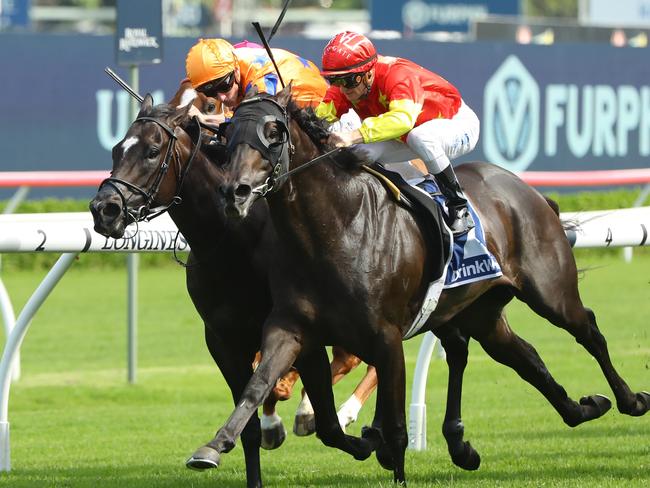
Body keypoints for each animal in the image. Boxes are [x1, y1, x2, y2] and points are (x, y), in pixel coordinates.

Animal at [88, 92, 378, 488]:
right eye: (117, 149)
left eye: (152, 151)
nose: (104, 209)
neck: (238, 241)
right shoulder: (222, 339)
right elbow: (251, 424)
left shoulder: (303, 334)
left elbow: (325, 420)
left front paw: (358, 438)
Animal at [210, 87, 644, 484]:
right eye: (228, 135)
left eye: (273, 132)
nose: (235, 192)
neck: (333, 228)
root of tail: (528, 191)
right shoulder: (291, 328)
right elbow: (258, 384)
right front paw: (214, 445)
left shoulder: (385, 338)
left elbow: (397, 430)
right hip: (482, 312)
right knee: (525, 358)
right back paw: (582, 408)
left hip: (550, 291)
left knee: (588, 330)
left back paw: (631, 399)